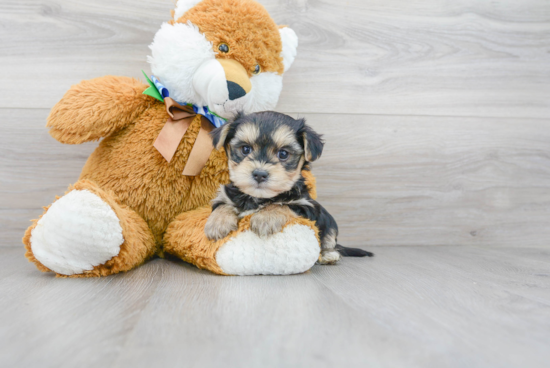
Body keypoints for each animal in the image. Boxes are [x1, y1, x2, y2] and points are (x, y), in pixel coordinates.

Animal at [204, 110, 376, 264]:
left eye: (283, 154)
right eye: (245, 149)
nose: (259, 174)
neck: (260, 198)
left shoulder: (306, 206)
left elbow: (283, 205)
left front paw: (265, 217)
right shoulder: (224, 195)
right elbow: (223, 205)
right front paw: (217, 223)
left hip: (329, 223)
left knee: (329, 240)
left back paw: (329, 256)